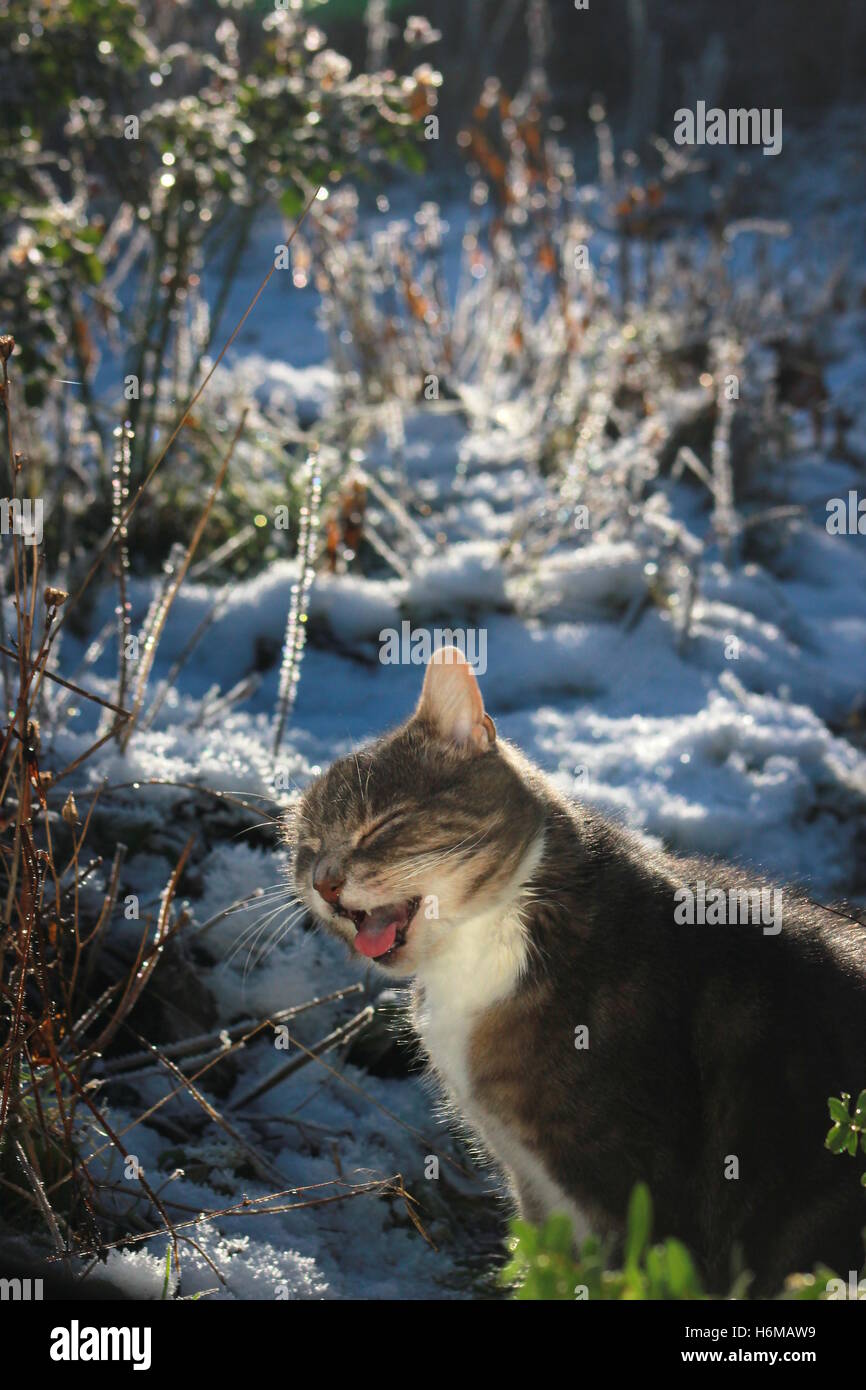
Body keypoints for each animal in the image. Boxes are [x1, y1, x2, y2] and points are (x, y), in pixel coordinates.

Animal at [289, 644, 866, 1295]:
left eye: (381, 824)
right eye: (306, 847)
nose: (324, 883)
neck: (480, 947)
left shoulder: (631, 1188)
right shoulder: (532, 1180)